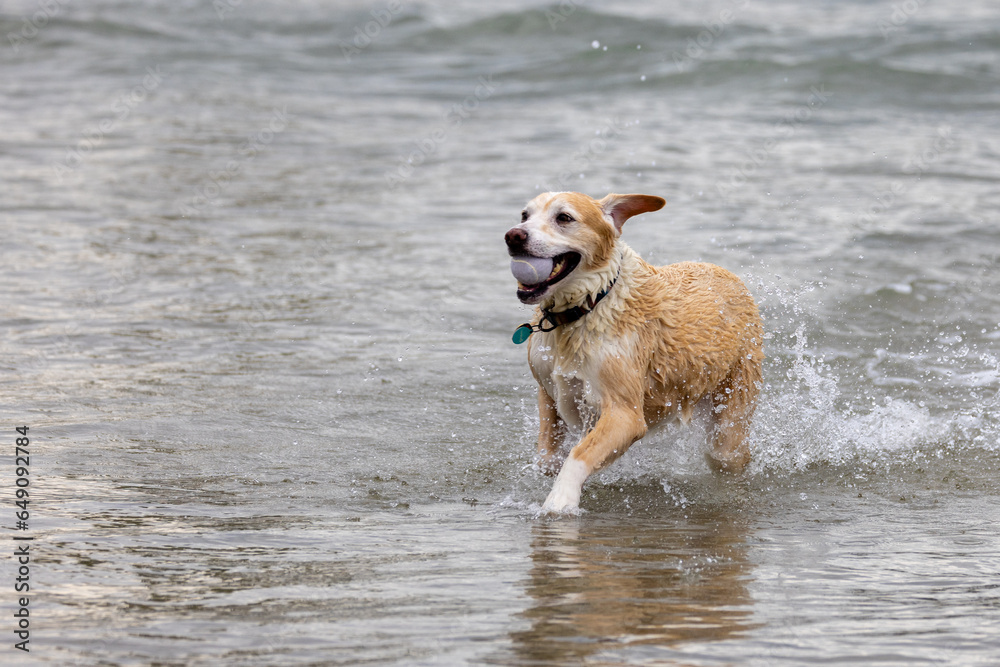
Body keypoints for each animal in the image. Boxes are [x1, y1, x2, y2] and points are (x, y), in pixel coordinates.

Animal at [508, 190, 764, 516]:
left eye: (564, 218)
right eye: (524, 215)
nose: (513, 236)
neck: (587, 306)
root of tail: (730, 275)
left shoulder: (625, 414)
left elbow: (579, 455)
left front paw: (560, 500)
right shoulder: (547, 389)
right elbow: (547, 456)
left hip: (732, 411)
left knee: (728, 455)